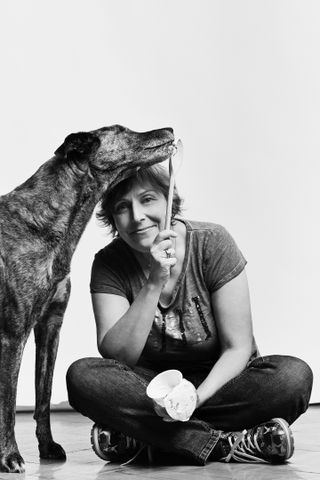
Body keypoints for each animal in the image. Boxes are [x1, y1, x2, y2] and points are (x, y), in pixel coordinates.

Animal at [0, 124, 175, 472]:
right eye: (122, 130)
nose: (169, 129)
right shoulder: (13, 334)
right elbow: (8, 403)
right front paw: (10, 456)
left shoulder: (50, 326)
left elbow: (43, 396)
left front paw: (48, 446)